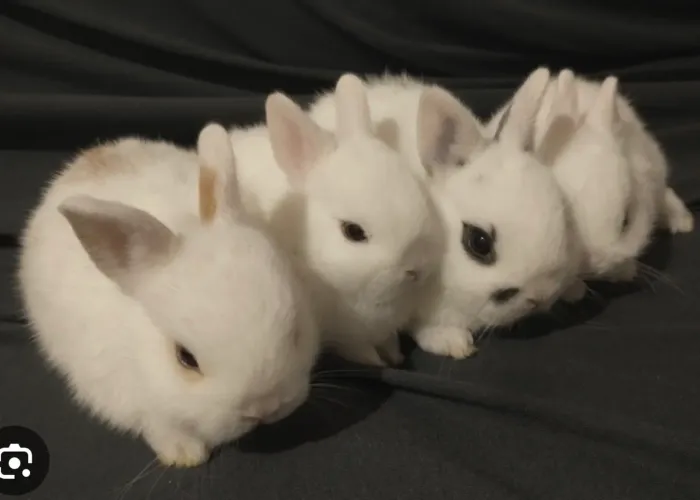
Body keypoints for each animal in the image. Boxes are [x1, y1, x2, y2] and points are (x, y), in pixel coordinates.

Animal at [17, 123, 320, 467]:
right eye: (185, 359)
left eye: (296, 332)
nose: (265, 407)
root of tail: (93, 154)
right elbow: (159, 424)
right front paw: (184, 455)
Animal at [228, 73, 445, 367]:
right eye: (353, 231)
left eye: (419, 191)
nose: (415, 270)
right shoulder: (341, 334)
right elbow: (359, 349)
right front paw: (379, 361)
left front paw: (394, 354)